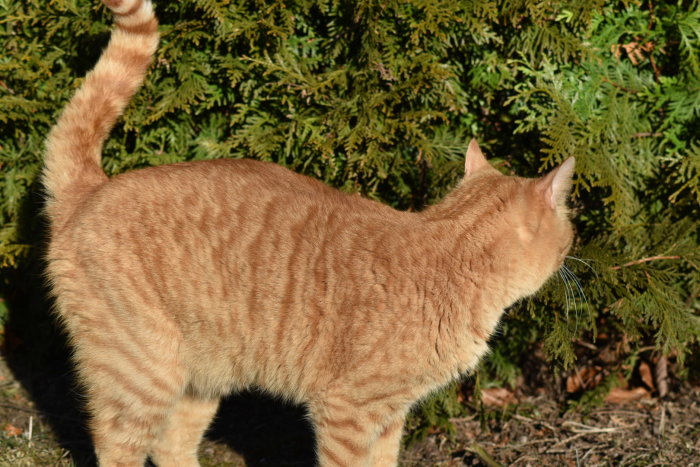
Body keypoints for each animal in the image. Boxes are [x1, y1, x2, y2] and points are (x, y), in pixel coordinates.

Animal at [45, 0, 576, 467]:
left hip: (202, 376)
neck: (454, 255)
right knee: (119, 445)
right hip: (144, 370)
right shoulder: (347, 410)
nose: (573, 253)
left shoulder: (389, 416)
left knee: (170, 445)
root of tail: (95, 185)